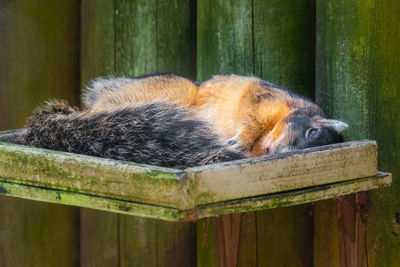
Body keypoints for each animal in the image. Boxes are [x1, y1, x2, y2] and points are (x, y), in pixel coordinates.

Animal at [21, 73, 346, 170]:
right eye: (312, 131)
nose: (278, 154)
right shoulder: (263, 96)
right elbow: (252, 115)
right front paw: (241, 138)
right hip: (177, 92)